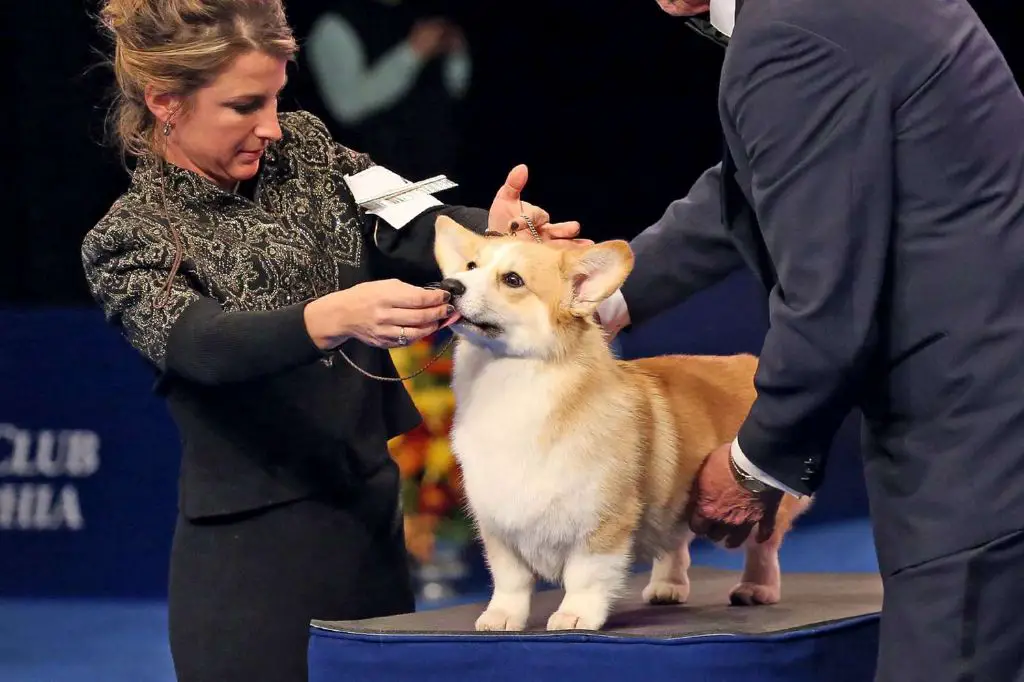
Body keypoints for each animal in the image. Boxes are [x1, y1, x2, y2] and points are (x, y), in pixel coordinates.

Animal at [430, 215, 806, 630]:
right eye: (470, 267)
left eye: (512, 280)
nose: (449, 287)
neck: (509, 381)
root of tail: (749, 364)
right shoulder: (498, 524)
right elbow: (509, 579)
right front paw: (501, 617)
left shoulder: (603, 519)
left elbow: (586, 574)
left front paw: (575, 615)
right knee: (674, 543)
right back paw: (667, 586)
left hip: (756, 504)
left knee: (763, 548)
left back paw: (756, 588)